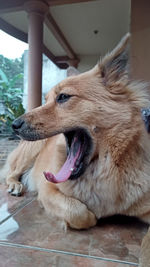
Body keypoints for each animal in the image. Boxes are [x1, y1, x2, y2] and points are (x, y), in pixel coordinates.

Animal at [0, 34, 150, 267]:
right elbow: (80, 213)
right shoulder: (48, 188)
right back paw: (15, 185)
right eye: (46, 100)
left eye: (63, 97)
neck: (103, 171)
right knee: (10, 173)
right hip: (31, 151)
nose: (14, 124)